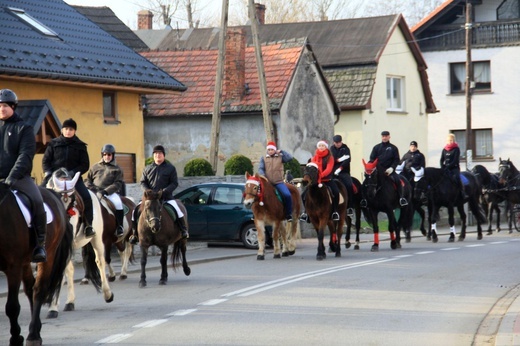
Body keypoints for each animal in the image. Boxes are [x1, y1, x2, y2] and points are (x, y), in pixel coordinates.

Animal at [0, 184, 73, 346]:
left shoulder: (13, 267)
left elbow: (12, 306)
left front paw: (16, 339)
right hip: (26, 262)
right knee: (30, 288)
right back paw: (36, 329)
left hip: (48, 255)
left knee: (38, 289)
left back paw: (33, 335)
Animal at [46, 169, 114, 318]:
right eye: (56, 199)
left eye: (73, 202)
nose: (65, 228)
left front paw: (53, 307)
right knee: (70, 269)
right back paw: (70, 302)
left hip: (96, 238)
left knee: (100, 261)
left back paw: (107, 294)